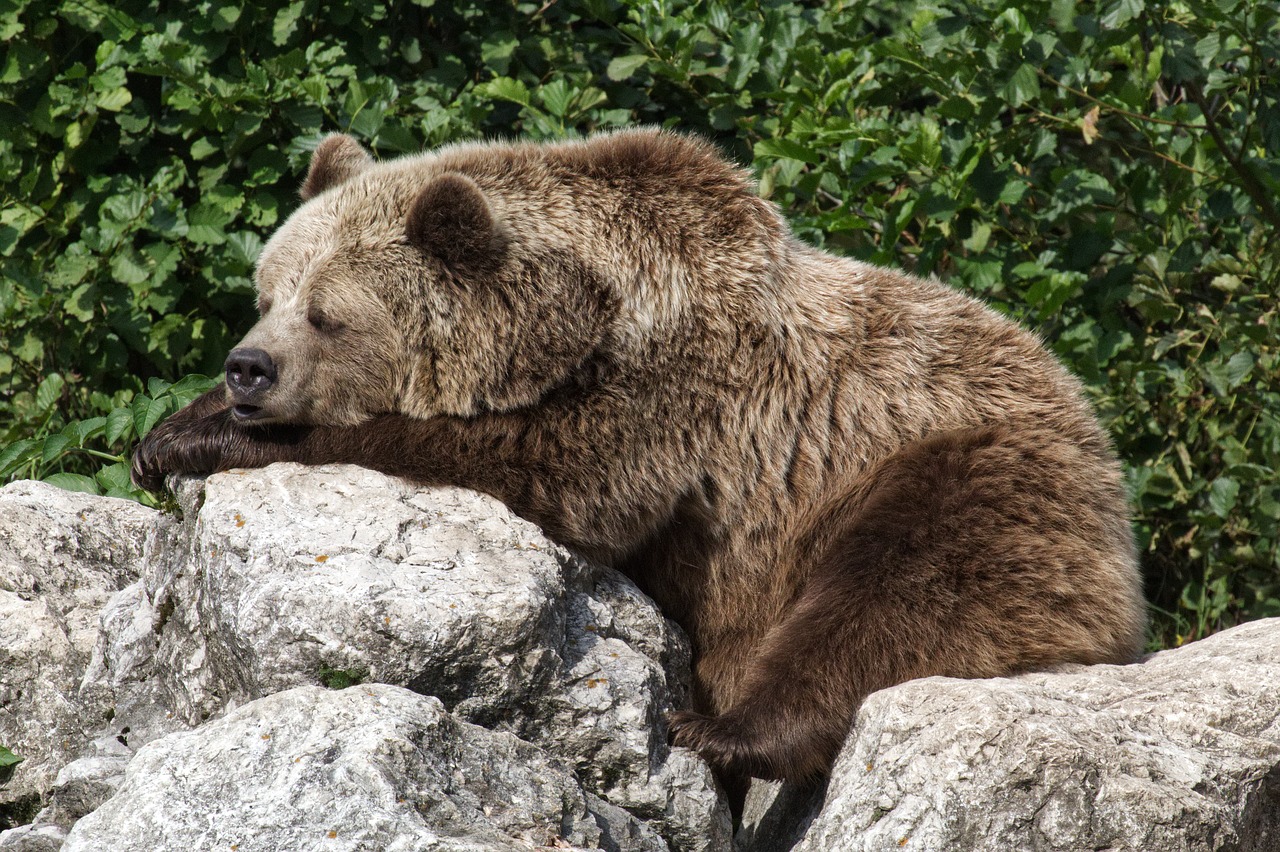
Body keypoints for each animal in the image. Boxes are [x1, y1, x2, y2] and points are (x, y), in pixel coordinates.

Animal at [132, 129, 1152, 793]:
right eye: (268, 292)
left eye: (328, 315)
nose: (248, 366)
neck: (585, 313)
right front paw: (166, 431)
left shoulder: (681, 401)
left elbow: (541, 470)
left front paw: (205, 439)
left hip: (967, 468)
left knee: (901, 592)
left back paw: (721, 728)